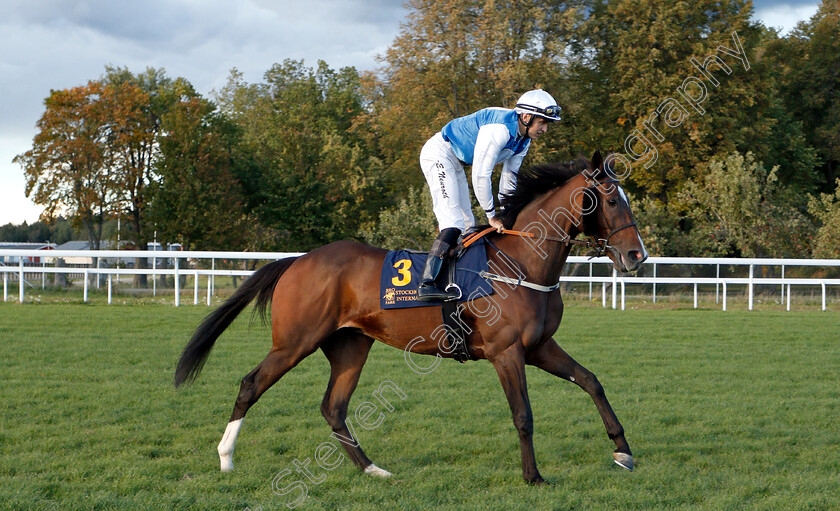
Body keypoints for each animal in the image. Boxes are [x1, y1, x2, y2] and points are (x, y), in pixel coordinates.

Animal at [176, 151, 648, 484]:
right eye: (610, 199)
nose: (636, 256)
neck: (521, 262)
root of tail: (298, 260)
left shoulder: (539, 347)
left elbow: (591, 381)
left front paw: (622, 450)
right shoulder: (507, 352)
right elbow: (524, 415)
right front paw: (533, 476)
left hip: (350, 345)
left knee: (334, 408)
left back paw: (372, 469)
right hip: (294, 342)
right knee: (250, 384)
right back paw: (225, 458)